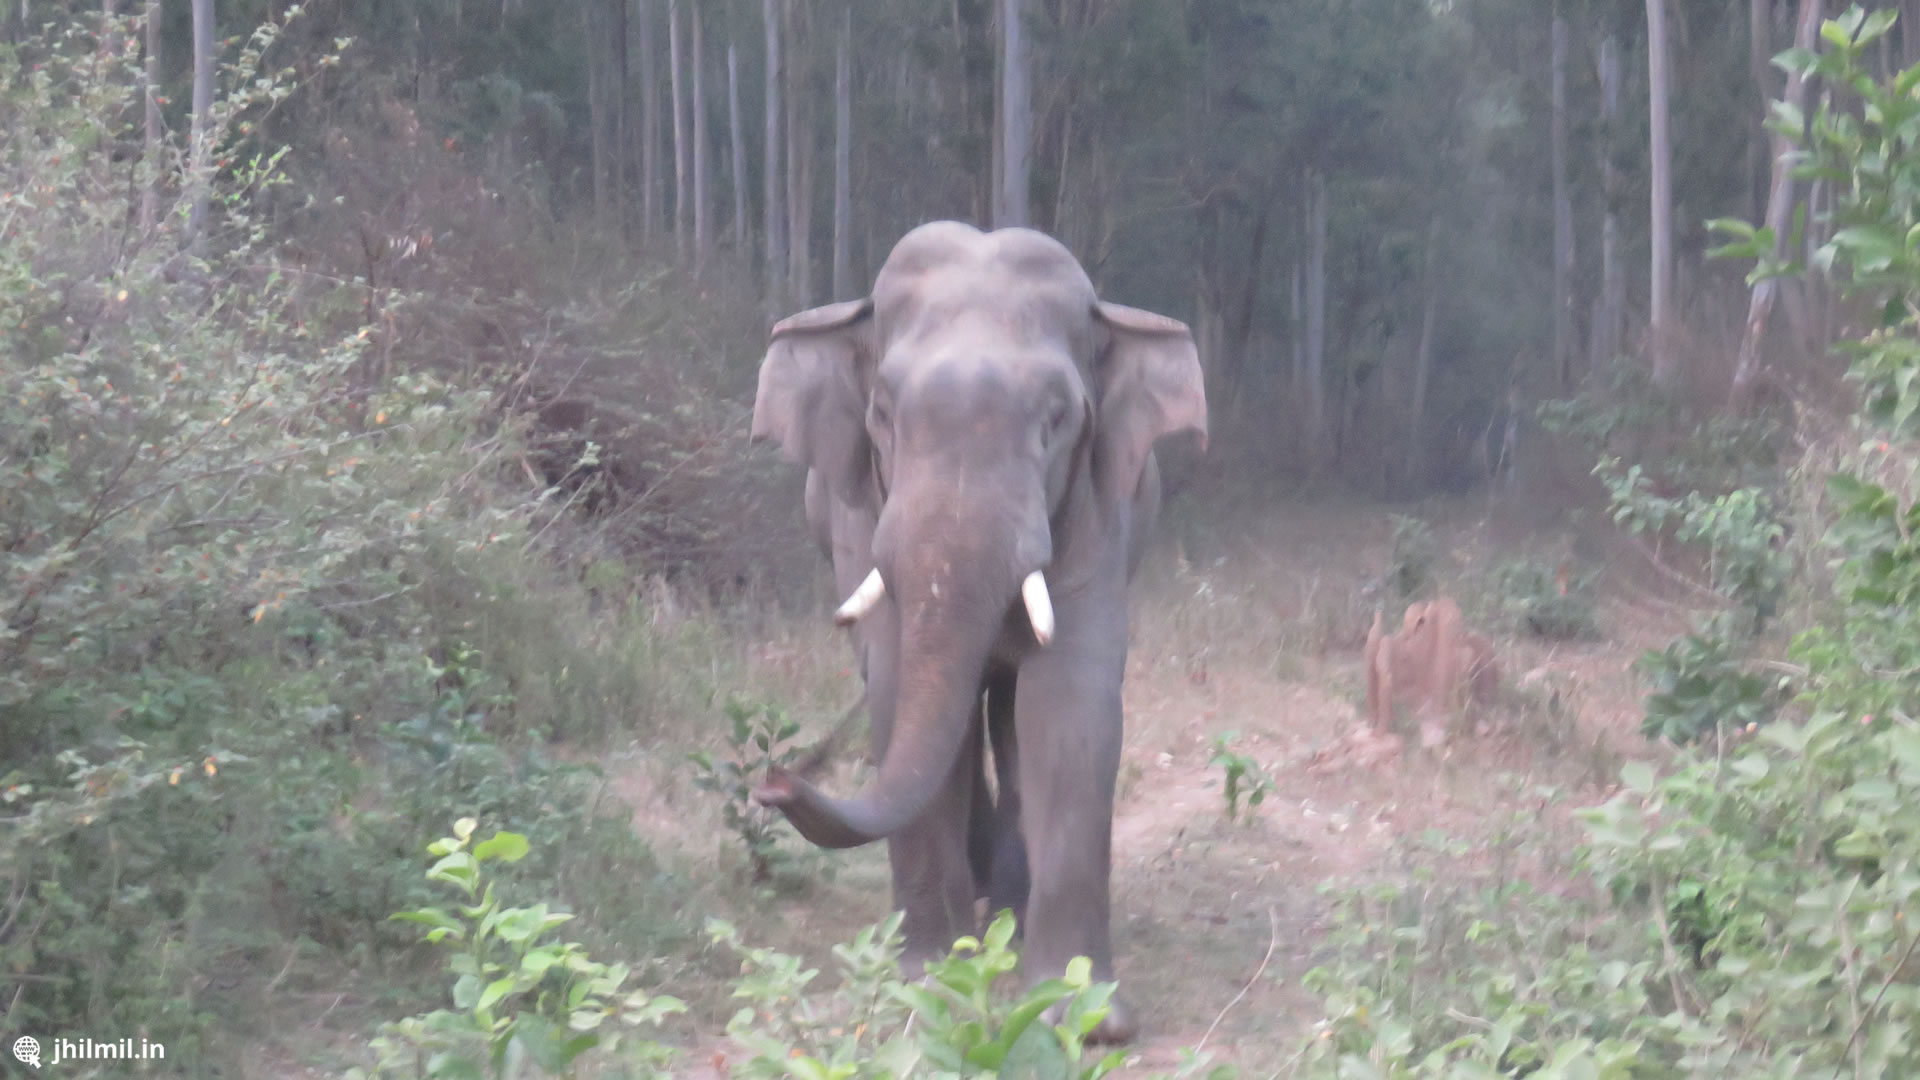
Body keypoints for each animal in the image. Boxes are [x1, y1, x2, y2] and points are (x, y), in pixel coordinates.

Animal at [748, 220, 1207, 1043]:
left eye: (1057, 420)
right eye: (883, 413)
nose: (771, 778)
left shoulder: (1099, 512)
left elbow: (1070, 707)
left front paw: (1083, 1016)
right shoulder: (860, 512)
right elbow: (899, 682)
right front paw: (930, 978)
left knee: (1006, 712)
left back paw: (1009, 912)